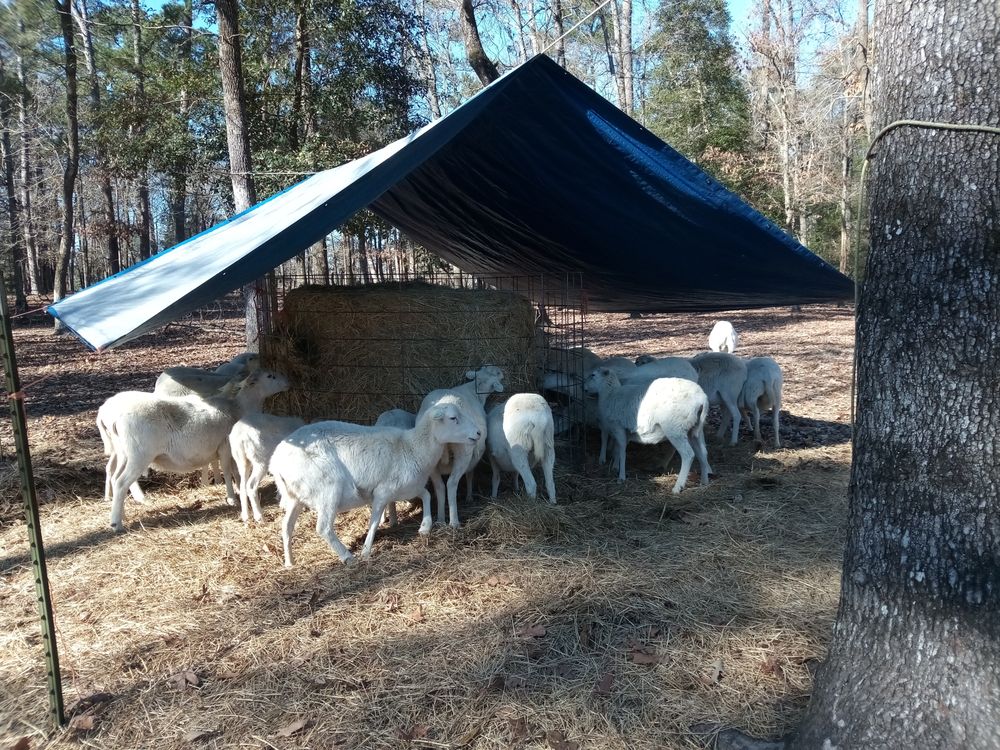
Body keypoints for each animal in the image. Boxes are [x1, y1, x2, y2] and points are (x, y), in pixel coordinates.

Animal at [104, 370, 289, 531]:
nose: (288, 382)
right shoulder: (224, 447)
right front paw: (231, 498)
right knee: (121, 482)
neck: (238, 407)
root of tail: (115, 420)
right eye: (270, 376)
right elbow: (227, 470)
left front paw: (238, 491)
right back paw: (116, 524)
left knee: (115, 477)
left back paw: (121, 515)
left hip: (123, 454)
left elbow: (236, 473)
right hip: (139, 454)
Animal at [270, 399, 482, 566]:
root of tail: (276, 461)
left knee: (286, 526)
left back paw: (289, 562)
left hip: (296, 496)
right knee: (323, 528)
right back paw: (347, 557)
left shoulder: (406, 487)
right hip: (327, 490)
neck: (412, 448)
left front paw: (425, 527)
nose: (478, 433)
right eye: (453, 418)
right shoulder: (382, 491)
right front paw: (366, 551)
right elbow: (373, 521)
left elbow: (427, 495)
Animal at [417, 365, 505, 528]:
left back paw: (440, 519)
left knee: (439, 486)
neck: (474, 390)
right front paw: (469, 496)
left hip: (431, 461)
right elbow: (470, 474)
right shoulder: (473, 454)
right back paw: (454, 522)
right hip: (463, 451)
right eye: (496, 372)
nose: (502, 372)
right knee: (451, 483)